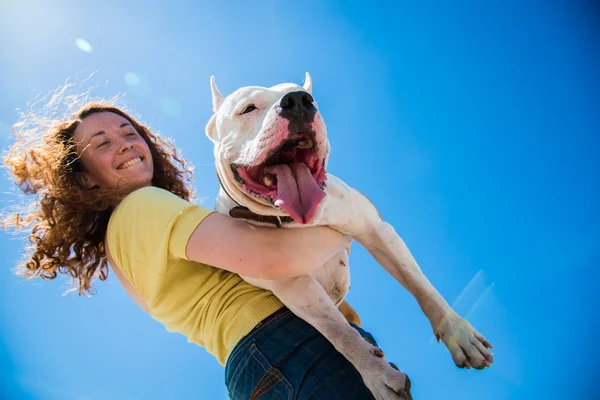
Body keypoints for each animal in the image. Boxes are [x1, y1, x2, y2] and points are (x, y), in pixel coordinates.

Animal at [206, 73, 492, 398]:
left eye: (308, 97)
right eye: (247, 108)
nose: (298, 101)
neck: (293, 220)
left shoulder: (376, 230)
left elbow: (419, 284)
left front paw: (458, 335)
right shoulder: (291, 283)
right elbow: (337, 331)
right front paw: (376, 375)